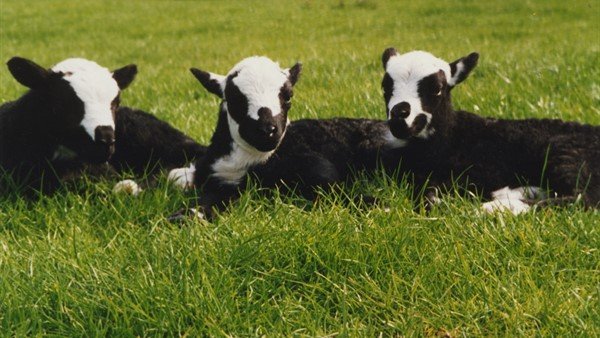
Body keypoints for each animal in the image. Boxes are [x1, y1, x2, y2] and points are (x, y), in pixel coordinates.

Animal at [168, 56, 398, 220]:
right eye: (234, 99)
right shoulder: (220, 177)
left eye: (288, 96)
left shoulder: (315, 165)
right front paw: (188, 215)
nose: (267, 130)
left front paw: (373, 204)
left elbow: (331, 187)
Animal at [382, 48, 596, 213]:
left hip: (566, 154)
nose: (399, 115)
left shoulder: (481, 171)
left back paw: (496, 207)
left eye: (437, 88)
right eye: (385, 87)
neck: (452, 136)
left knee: (580, 199)